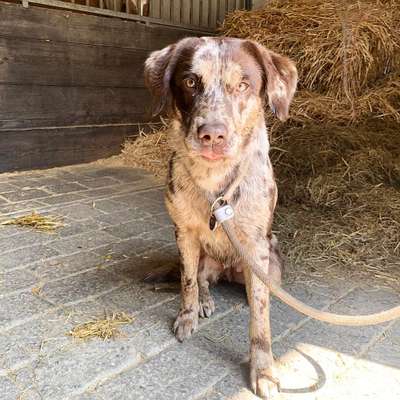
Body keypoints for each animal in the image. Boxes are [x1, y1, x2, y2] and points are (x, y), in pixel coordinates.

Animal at [144, 36, 296, 398]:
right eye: (189, 82)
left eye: (243, 85)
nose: (212, 135)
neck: (214, 183)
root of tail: (227, 271)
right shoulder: (184, 233)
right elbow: (187, 282)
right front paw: (187, 316)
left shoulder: (257, 247)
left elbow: (260, 317)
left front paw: (263, 368)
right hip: (201, 257)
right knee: (199, 279)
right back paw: (204, 301)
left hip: (273, 262)